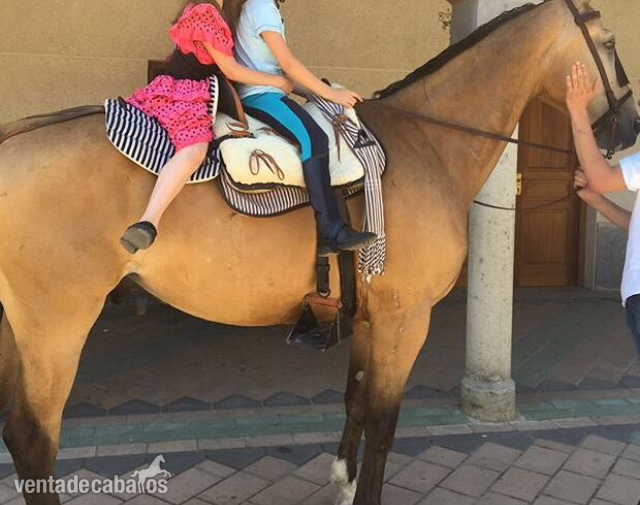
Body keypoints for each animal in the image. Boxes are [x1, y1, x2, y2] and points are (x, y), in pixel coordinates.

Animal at [0, 1, 637, 504]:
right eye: (609, 43)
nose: (628, 128)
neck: (426, 147)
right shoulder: (407, 320)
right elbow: (383, 422)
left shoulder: (374, 318)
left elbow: (354, 400)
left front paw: (344, 482)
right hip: (58, 324)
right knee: (34, 439)